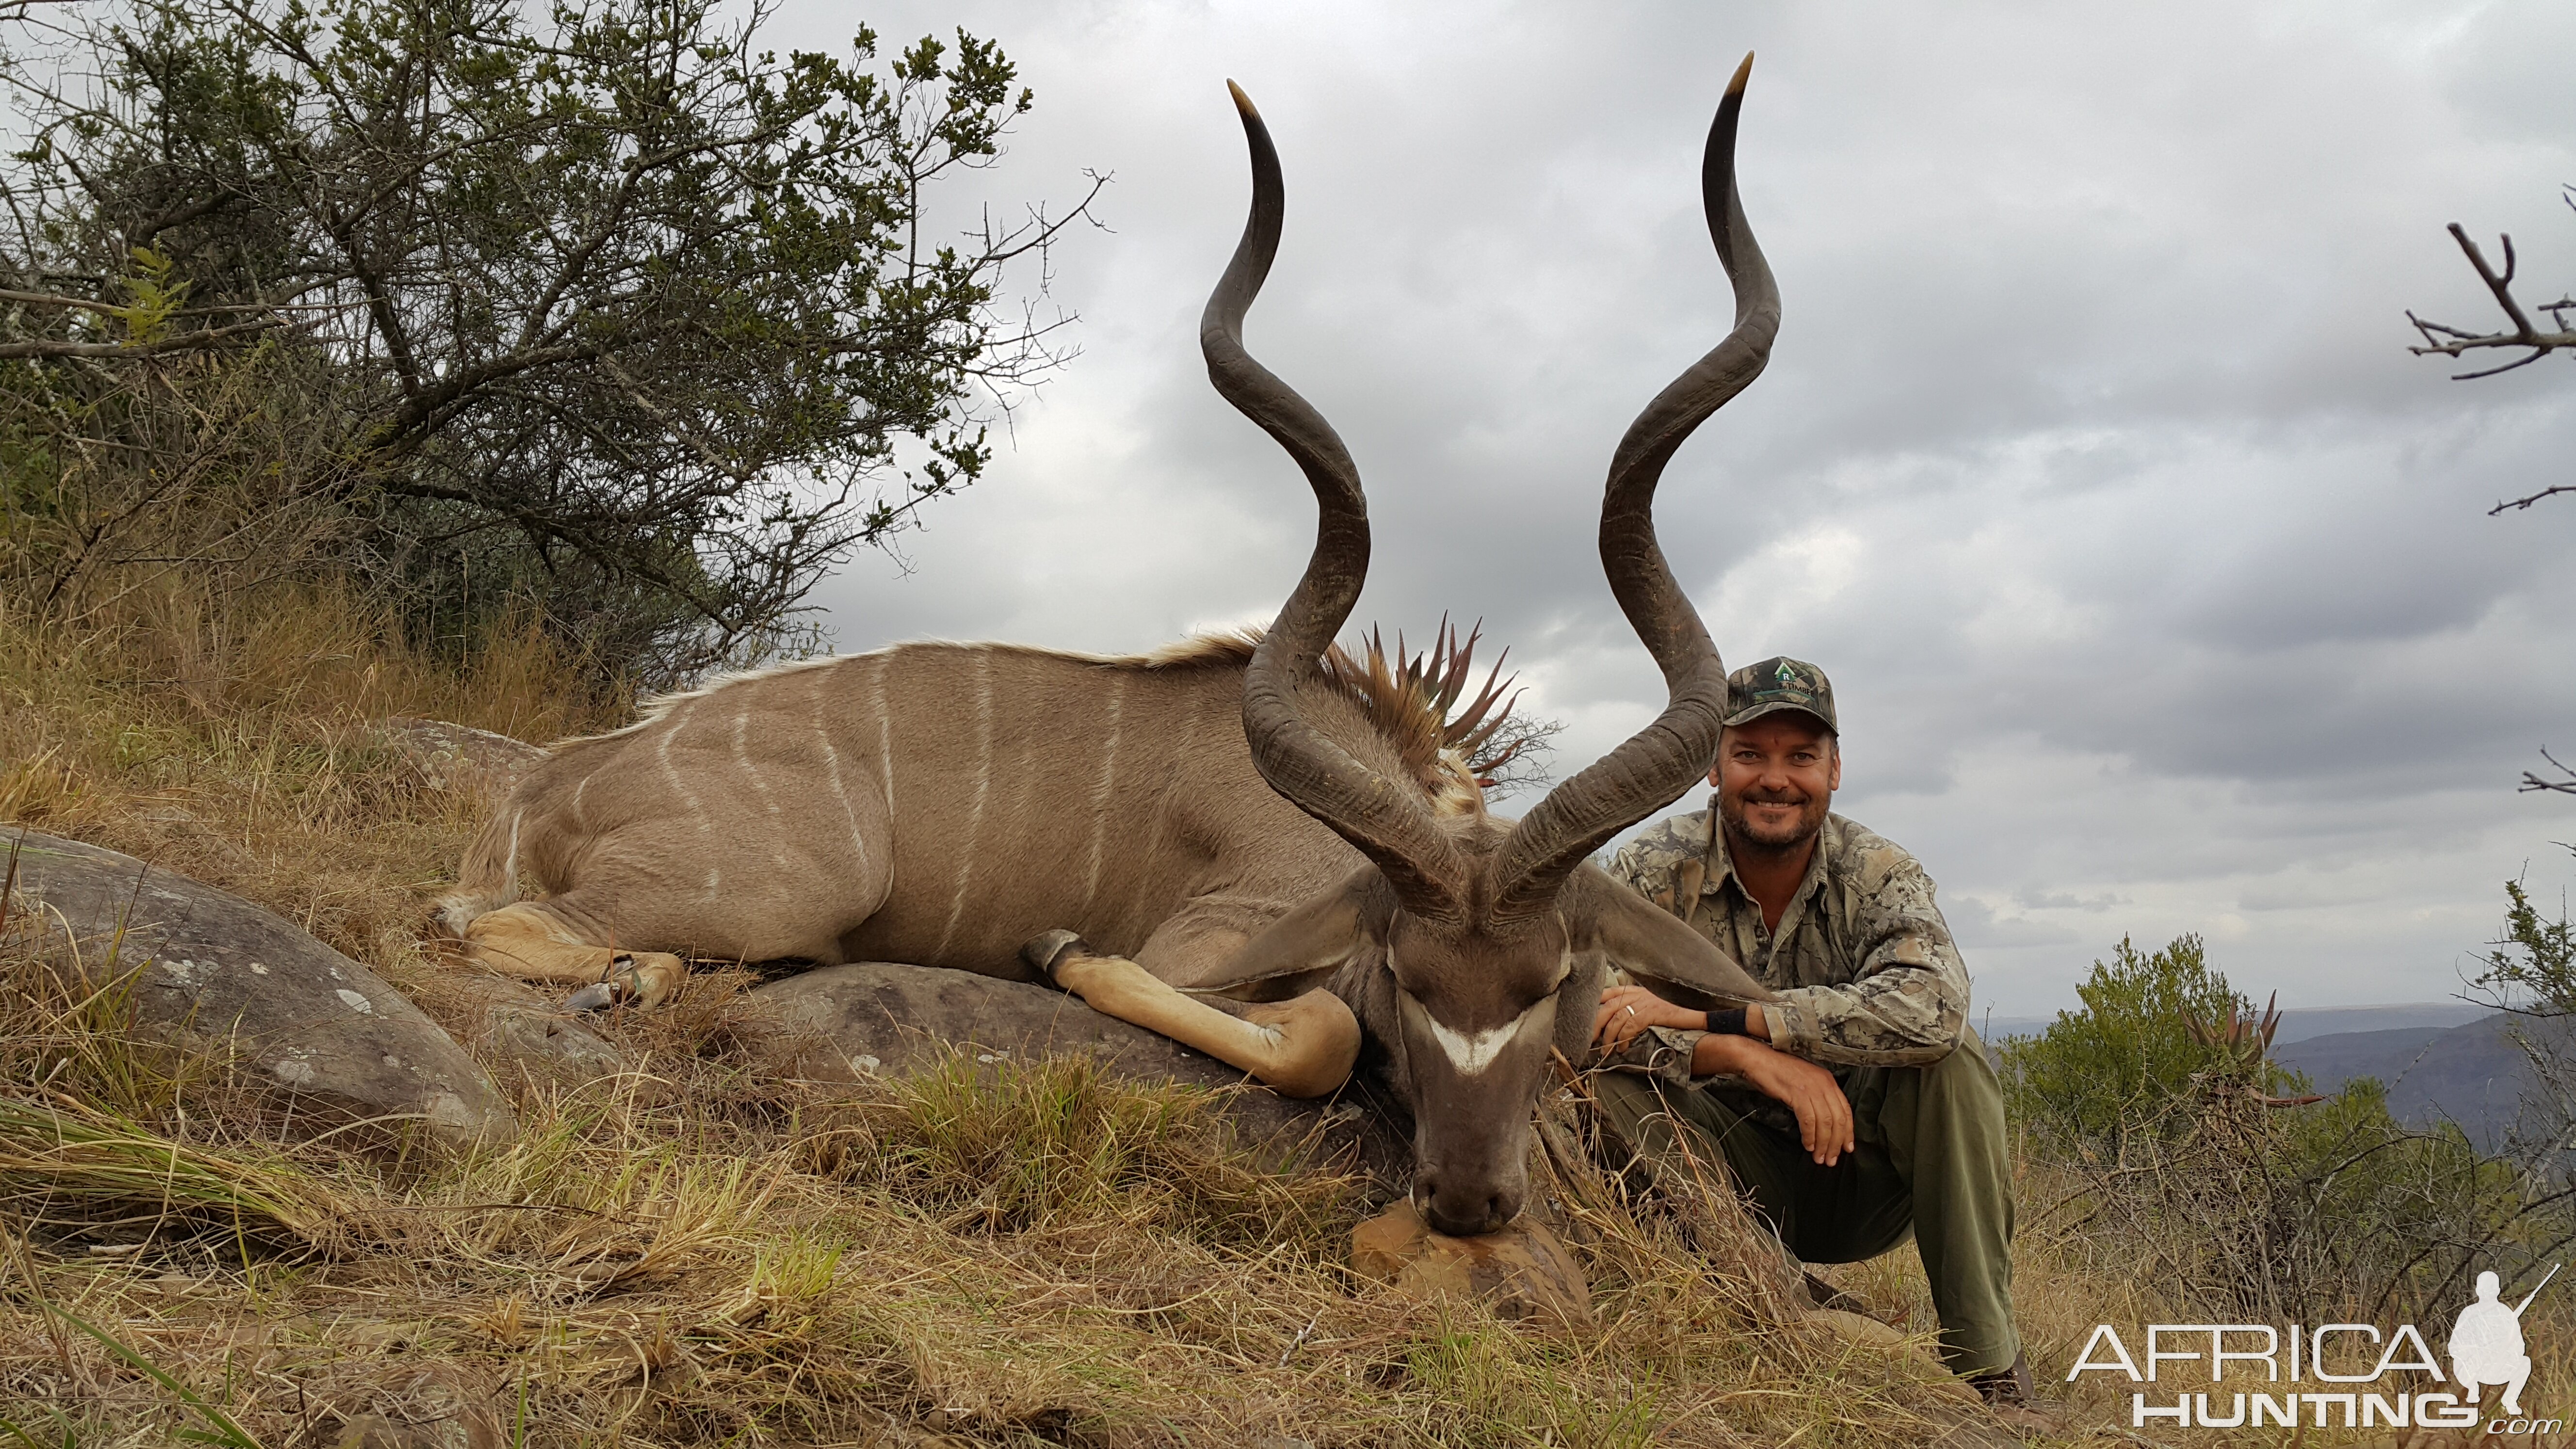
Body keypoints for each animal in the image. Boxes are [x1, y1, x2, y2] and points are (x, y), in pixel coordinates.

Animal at [438, 56, 1772, 1227]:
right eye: (1408, 977)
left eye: (1549, 984)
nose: (1468, 1201)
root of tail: (554, 780)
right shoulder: (1214, 944)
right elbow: (1316, 1038)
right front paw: (1059, 950)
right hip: (801, 884)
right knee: (474, 920)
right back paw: (608, 970)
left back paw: (651, 975)